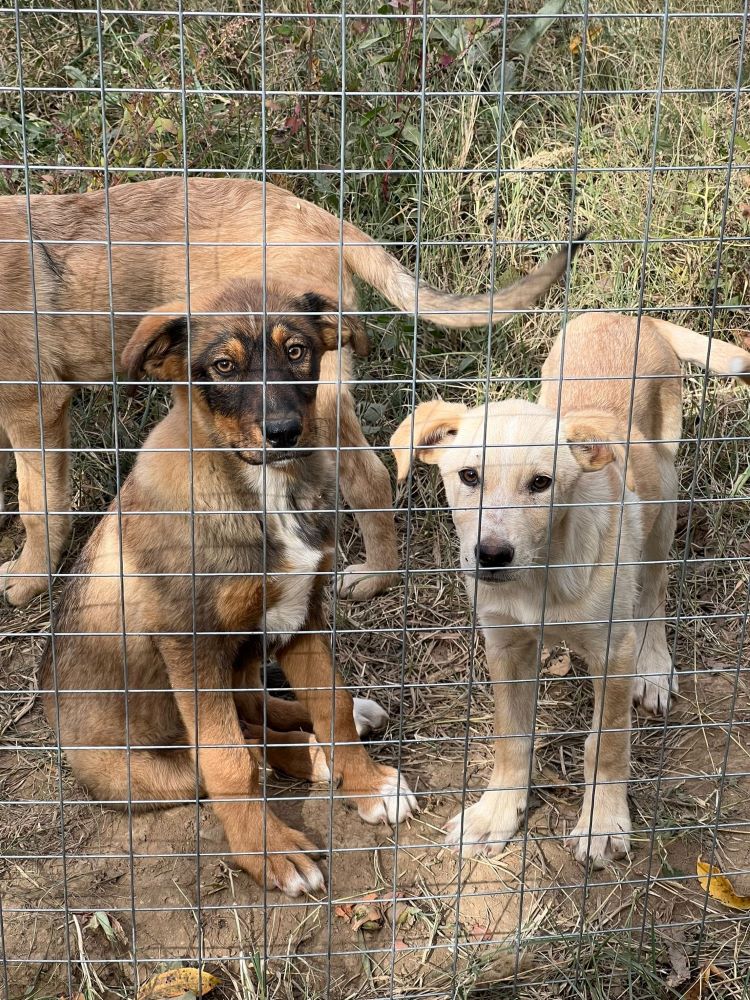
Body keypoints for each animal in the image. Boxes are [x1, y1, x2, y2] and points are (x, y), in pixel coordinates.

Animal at [0, 176, 580, 604]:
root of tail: (324, 218)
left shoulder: (34, 405)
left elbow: (38, 503)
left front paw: (29, 578)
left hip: (313, 403)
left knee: (370, 478)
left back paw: (376, 577)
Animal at [42, 280, 418, 900]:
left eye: (297, 351)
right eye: (223, 366)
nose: (286, 432)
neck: (262, 488)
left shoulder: (303, 613)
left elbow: (332, 704)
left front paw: (366, 781)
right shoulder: (190, 645)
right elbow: (229, 762)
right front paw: (269, 852)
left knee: (254, 708)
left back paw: (331, 735)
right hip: (149, 768)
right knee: (238, 748)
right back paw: (308, 759)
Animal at [394, 314, 750, 868]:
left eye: (541, 484)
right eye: (469, 476)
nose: (491, 555)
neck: (541, 578)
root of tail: (627, 316)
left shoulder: (612, 650)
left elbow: (607, 743)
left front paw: (602, 822)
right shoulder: (504, 645)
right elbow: (511, 735)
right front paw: (498, 812)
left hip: (664, 497)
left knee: (654, 593)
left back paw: (655, 666)